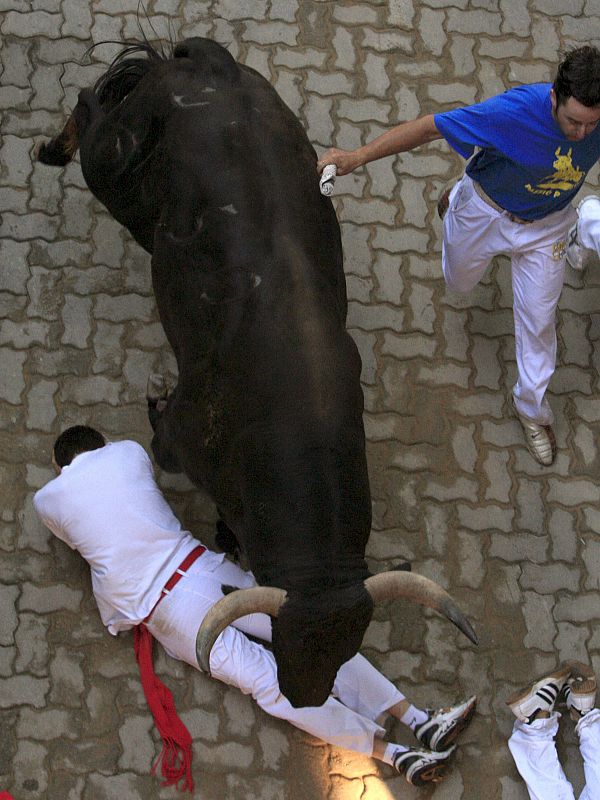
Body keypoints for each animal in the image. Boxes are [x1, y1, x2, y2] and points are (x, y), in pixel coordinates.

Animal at [38, 37, 478, 708]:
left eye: (349, 647)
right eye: (282, 639)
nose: (305, 698)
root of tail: (209, 60)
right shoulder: (175, 445)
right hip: (110, 165)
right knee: (89, 106)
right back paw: (49, 147)